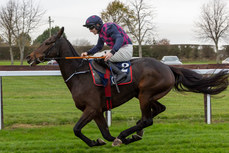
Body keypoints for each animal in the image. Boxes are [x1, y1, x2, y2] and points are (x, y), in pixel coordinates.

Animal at [26, 27, 229, 147]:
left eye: (48, 42)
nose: (29, 57)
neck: (79, 74)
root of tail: (168, 67)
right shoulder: (97, 111)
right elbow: (105, 134)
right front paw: (99, 141)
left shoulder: (91, 108)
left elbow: (77, 129)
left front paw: (105, 140)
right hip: (146, 95)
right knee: (156, 111)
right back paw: (136, 132)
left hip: (146, 94)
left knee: (148, 119)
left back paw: (128, 133)